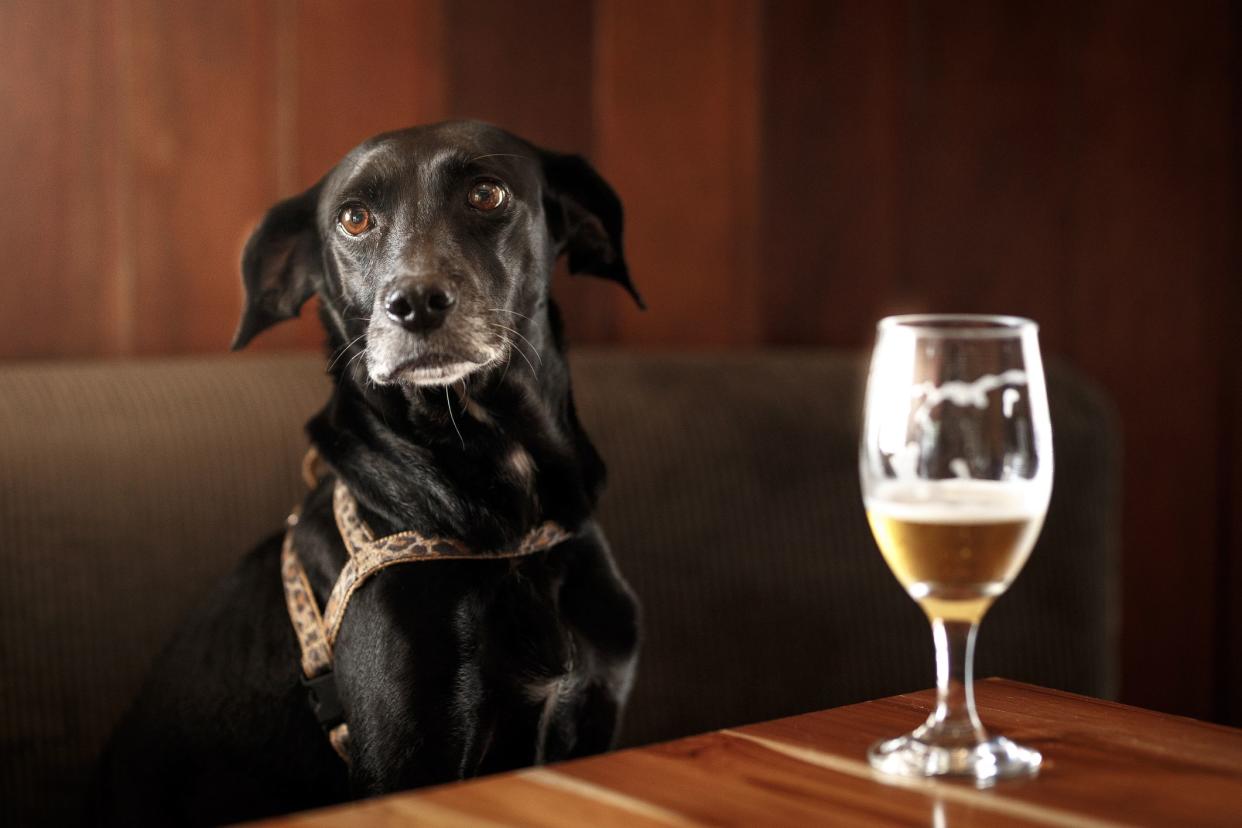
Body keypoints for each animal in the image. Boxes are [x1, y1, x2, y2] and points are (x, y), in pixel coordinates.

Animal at [90, 119, 640, 824]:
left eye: (486, 193)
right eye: (353, 218)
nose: (414, 304)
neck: (511, 535)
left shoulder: (592, 715)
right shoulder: (410, 761)